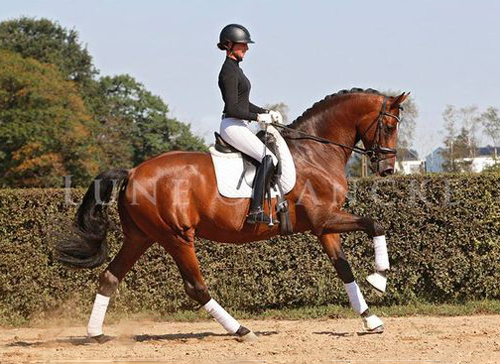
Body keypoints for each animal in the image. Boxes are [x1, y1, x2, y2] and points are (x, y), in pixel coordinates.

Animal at [56, 87, 408, 342]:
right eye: (390, 126)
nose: (388, 169)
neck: (314, 152)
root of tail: (132, 172)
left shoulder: (324, 226)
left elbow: (344, 269)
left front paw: (371, 320)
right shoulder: (325, 219)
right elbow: (375, 224)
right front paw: (379, 277)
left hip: (141, 237)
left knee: (109, 277)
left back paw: (96, 334)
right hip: (176, 237)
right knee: (196, 287)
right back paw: (241, 330)